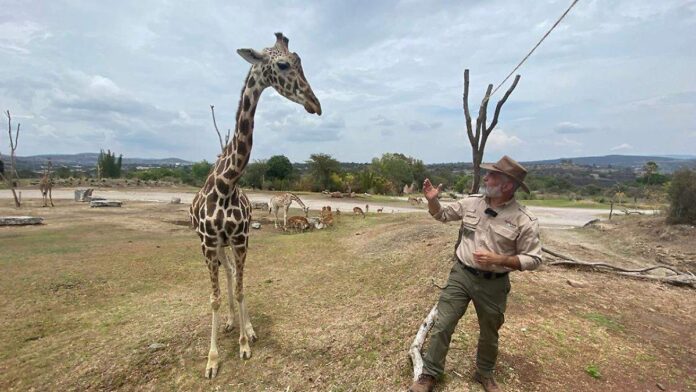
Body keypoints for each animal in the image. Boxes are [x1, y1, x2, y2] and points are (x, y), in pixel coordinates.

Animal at [188, 33, 324, 380]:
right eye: (283, 64)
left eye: (300, 61)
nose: (315, 104)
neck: (226, 183)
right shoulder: (208, 243)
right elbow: (214, 297)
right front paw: (212, 360)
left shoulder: (240, 238)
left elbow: (238, 288)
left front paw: (244, 343)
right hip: (216, 246)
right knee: (227, 276)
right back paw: (229, 322)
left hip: (235, 242)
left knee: (236, 275)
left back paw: (245, 327)